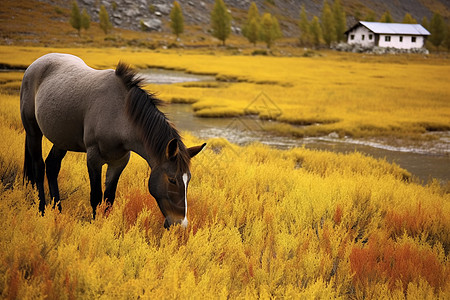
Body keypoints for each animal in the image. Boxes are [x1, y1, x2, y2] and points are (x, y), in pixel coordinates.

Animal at [19, 53, 206, 227]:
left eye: (188, 179)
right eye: (172, 180)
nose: (181, 223)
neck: (118, 114)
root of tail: (36, 64)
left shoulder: (119, 162)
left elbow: (109, 198)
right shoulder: (93, 159)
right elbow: (96, 197)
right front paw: (95, 226)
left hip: (61, 139)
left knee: (52, 166)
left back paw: (57, 210)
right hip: (33, 131)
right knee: (38, 167)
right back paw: (42, 210)